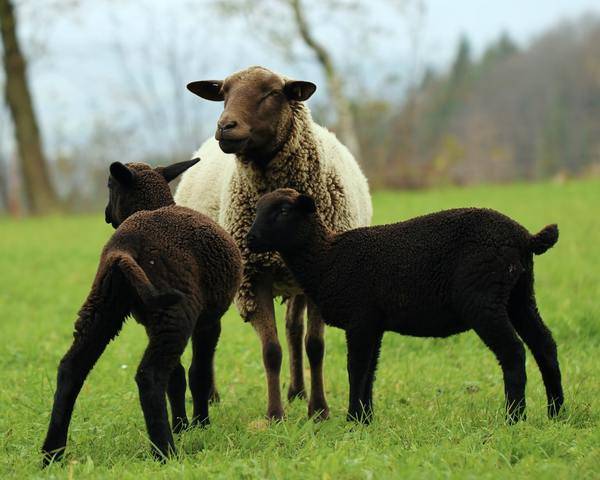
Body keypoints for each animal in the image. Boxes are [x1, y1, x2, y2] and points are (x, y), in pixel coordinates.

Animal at [40, 159, 244, 464]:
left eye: (109, 185)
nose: (105, 215)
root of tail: (124, 249)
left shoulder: (152, 323)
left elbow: (177, 376)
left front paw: (183, 426)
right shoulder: (209, 321)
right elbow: (198, 374)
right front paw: (199, 424)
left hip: (103, 306)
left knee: (71, 368)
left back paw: (51, 454)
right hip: (175, 310)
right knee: (150, 375)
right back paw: (165, 452)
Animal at [175, 65, 370, 418]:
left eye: (272, 93)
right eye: (223, 93)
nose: (225, 126)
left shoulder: (323, 276)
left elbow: (314, 345)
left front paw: (318, 410)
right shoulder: (253, 278)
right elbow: (271, 350)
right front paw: (275, 414)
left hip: (297, 280)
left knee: (294, 329)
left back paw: (297, 391)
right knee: (209, 330)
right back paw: (212, 394)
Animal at [246, 188, 564, 424]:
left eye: (284, 211)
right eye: (258, 209)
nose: (250, 239)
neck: (326, 258)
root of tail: (525, 238)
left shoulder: (360, 318)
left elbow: (356, 367)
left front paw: (352, 419)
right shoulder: (374, 323)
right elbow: (369, 371)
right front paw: (365, 420)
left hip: (483, 298)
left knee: (513, 351)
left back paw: (515, 418)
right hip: (519, 295)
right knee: (544, 344)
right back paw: (556, 412)